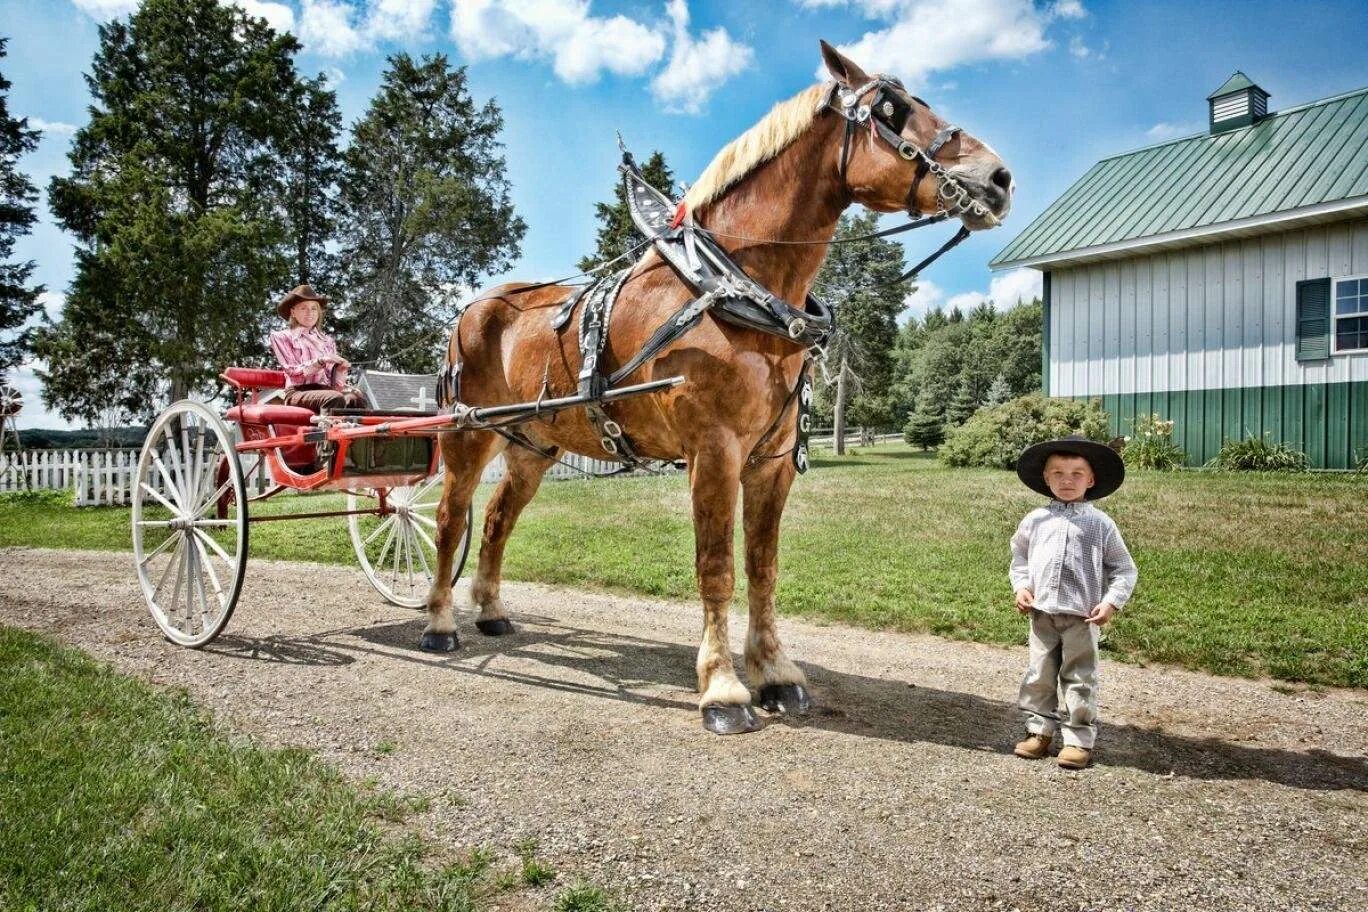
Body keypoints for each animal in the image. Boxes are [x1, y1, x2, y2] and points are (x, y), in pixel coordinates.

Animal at [421, 46, 1012, 738]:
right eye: (891, 110)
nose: (999, 178)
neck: (735, 288)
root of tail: (474, 306)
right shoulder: (715, 449)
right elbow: (717, 568)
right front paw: (724, 688)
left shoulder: (772, 461)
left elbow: (762, 566)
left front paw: (775, 672)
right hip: (468, 431)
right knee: (450, 518)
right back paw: (439, 623)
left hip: (532, 445)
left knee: (495, 520)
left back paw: (490, 611)